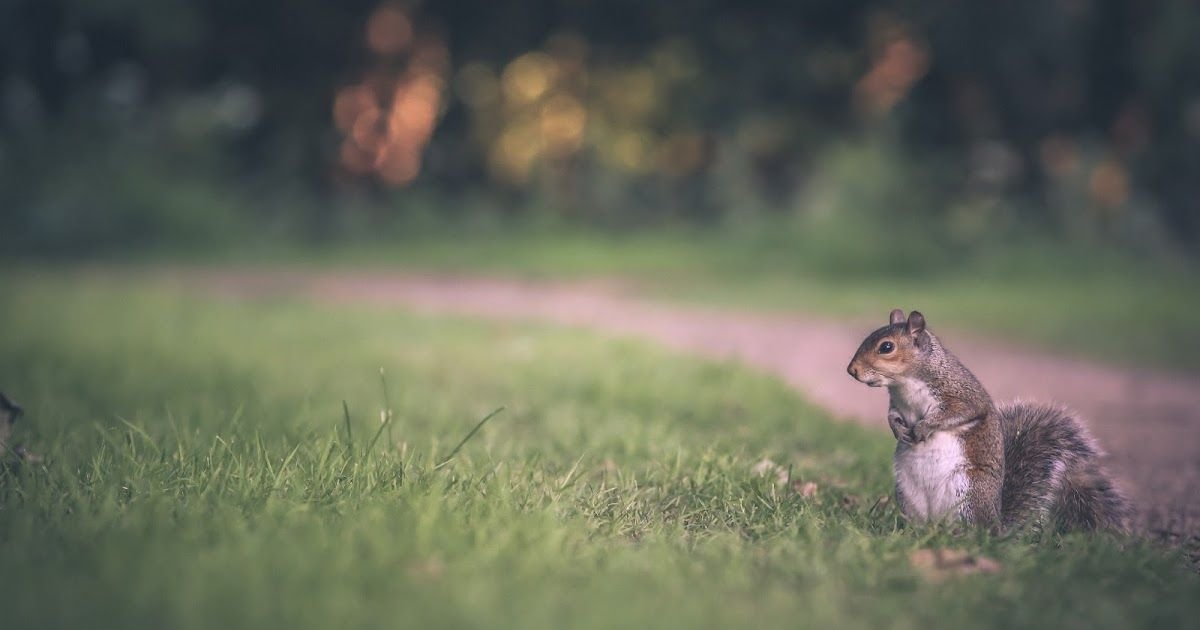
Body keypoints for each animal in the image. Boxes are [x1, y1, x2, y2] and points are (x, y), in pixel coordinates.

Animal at [846, 309, 1129, 532]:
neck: (904, 383)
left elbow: (957, 413)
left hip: (968, 492)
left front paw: (924, 427)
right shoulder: (897, 403)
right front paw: (898, 429)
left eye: (886, 347)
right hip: (908, 495)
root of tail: (996, 523)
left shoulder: (962, 396)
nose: (852, 370)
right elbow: (892, 415)